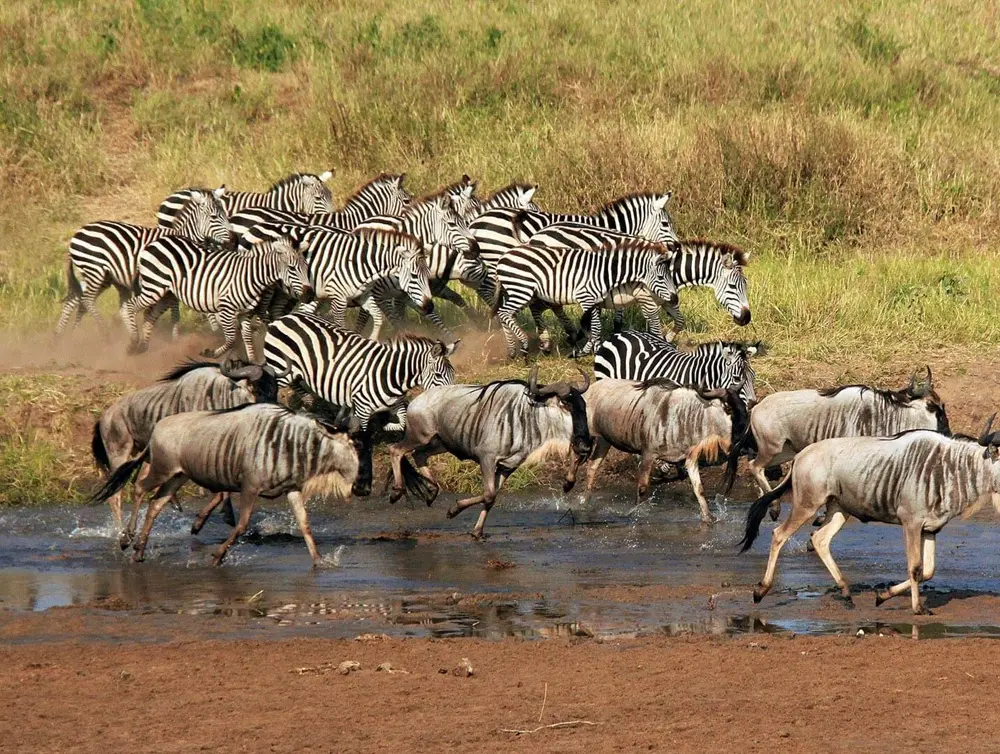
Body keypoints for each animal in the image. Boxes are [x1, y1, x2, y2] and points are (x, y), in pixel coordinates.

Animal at [56, 188, 231, 336]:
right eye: (214, 217)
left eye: (226, 215)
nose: (233, 240)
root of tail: (77, 233)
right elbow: (176, 309)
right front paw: (177, 336)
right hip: (95, 271)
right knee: (86, 300)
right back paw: (104, 332)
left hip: (97, 275)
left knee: (74, 300)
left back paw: (62, 338)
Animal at [125, 235, 313, 360]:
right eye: (292, 268)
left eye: (306, 267)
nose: (309, 294)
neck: (249, 276)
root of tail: (155, 242)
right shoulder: (226, 310)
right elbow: (232, 339)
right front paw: (211, 353)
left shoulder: (245, 313)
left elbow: (247, 338)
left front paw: (253, 363)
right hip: (154, 288)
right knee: (131, 305)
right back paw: (132, 342)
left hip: (166, 294)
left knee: (150, 315)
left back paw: (142, 347)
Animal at [263, 311, 458, 431]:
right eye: (438, 375)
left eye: (453, 375)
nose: (449, 406)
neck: (391, 374)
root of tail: (283, 317)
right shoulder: (363, 409)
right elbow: (362, 434)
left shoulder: (394, 403)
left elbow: (402, 422)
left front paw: (388, 426)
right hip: (281, 367)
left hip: (295, 371)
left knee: (296, 384)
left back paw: (308, 401)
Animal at [492, 238, 678, 358]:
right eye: (661, 278)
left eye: (671, 275)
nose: (675, 299)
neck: (604, 272)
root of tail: (504, 256)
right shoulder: (586, 298)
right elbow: (595, 328)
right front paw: (592, 350)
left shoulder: (594, 301)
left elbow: (595, 327)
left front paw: (593, 349)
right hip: (521, 290)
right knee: (504, 313)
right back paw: (523, 344)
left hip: (519, 292)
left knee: (505, 314)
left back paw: (513, 350)